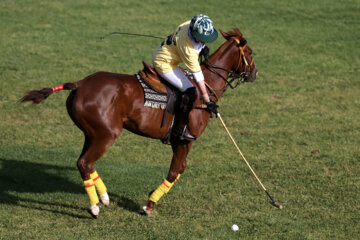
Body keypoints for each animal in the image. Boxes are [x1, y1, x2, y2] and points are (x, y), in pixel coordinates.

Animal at [20, 28, 256, 218]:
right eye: (251, 53)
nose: (254, 73)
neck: (205, 87)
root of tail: (79, 83)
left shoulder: (179, 142)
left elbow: (178, 169)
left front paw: (149, 199)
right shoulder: (184, 140)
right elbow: (176, 170)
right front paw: (149, 205)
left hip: (91, 133)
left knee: (85, 162)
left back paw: (104, 197)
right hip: (107, 134)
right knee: (84, 163)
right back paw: (95, 207)